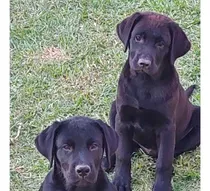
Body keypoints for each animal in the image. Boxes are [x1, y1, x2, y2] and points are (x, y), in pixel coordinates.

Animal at [105, 11, 200, 191]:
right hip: (114, 108)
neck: (145, 82)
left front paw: (162, 186)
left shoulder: (167, 127)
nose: (144, 63)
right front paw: (120, 181)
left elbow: (164, 161)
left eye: (161, 44)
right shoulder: (123, 119)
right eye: (138, 38)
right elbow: (123, 154)